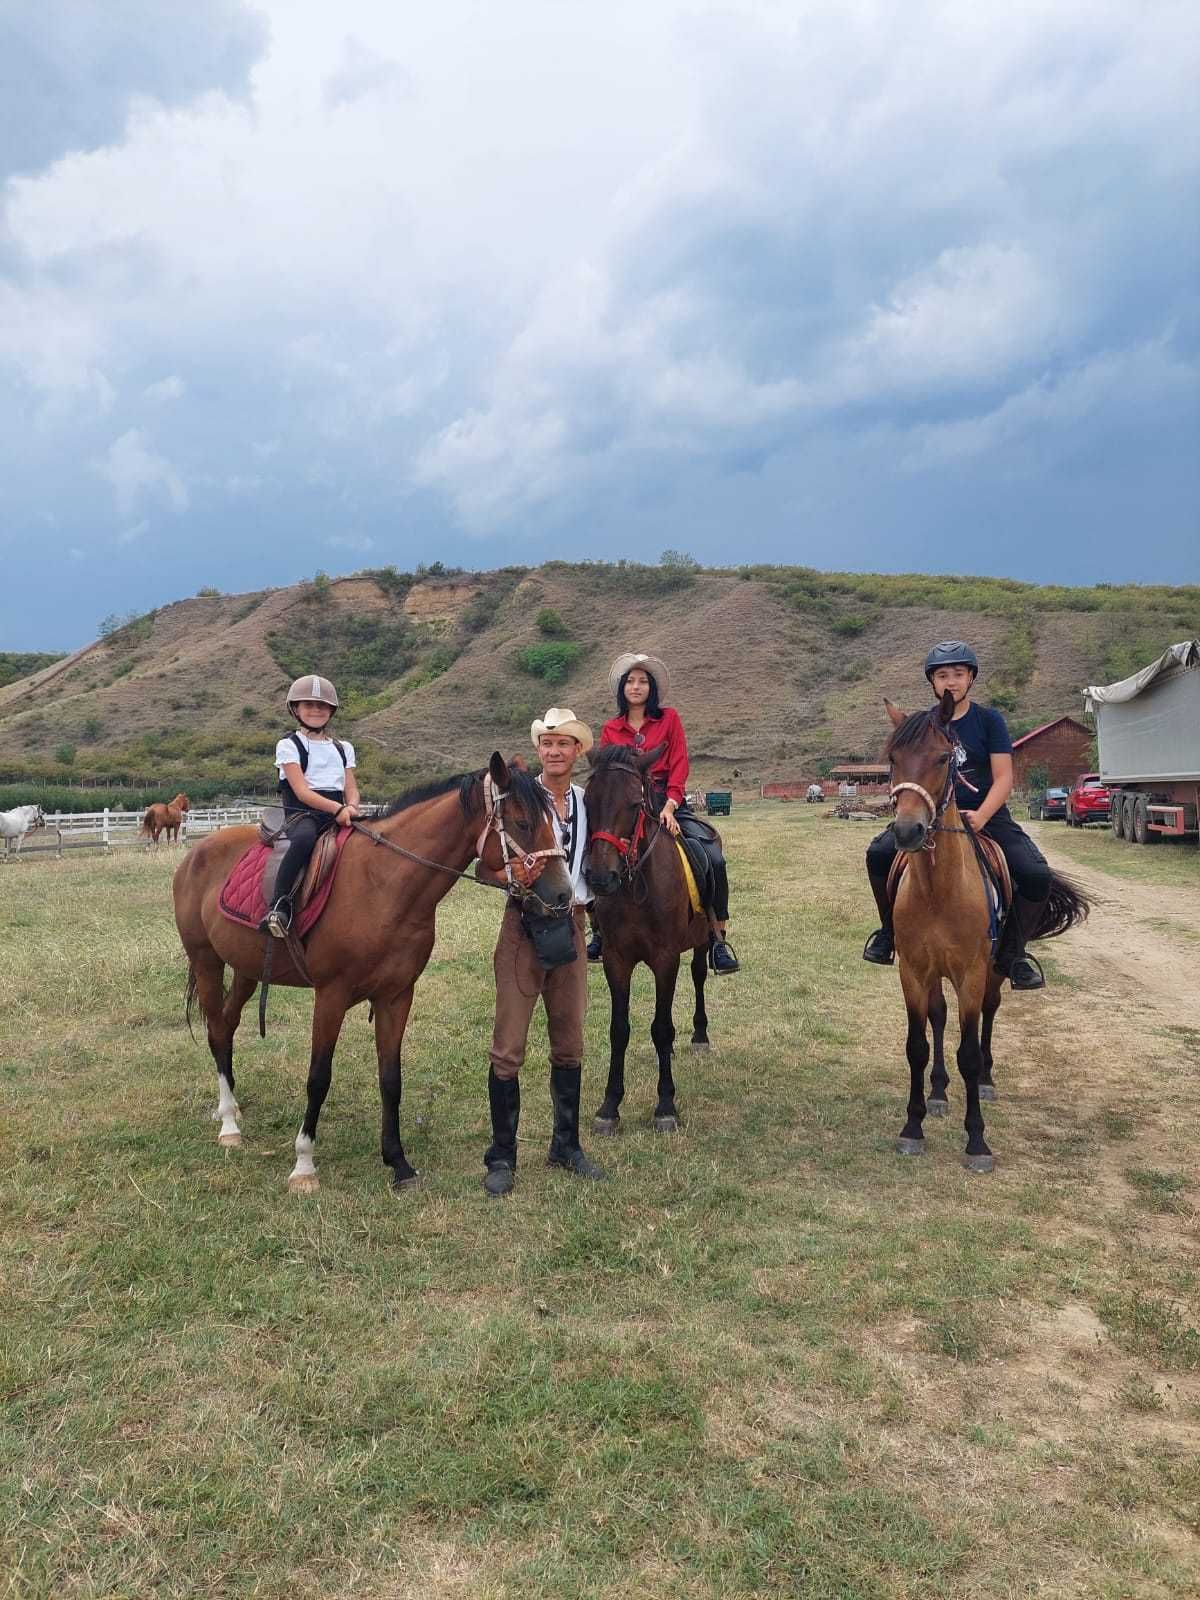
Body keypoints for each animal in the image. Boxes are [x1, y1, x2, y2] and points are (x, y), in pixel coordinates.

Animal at [170, 755, 579, 1196]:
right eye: (522, 822)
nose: (562, 895)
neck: (383, 884)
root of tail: (197, 852)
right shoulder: (330, 996)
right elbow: (319, 1077)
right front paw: (304, 1165)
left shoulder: (396, 996)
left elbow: (391, 1079)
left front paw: (398, 1162)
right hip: (207, 962)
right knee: (215, 1029)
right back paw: (229, 1123)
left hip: (245, 970)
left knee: (226, 1026)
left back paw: (231, 1109)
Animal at [585, 745, 710, 1139]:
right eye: (588, 801)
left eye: (633, 804)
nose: (600, 877)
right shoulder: (616, 960)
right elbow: (619, 1030)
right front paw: (609, 1107)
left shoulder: (666, 959)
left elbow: (662, 1028)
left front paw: (665, 1105)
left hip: (702, 941)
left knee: (699, 976)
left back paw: (700, 1036)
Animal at [883, 694, 1088, 1171]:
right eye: (893, 759)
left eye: (944, 758)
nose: (906, 831)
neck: (938, 890)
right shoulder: (913, 971)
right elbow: (917, 1045)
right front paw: (913, 1126)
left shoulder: (973, 974)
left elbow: (970, 1054)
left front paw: (977, 1140)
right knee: (939, 1017)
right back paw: (939, 1092)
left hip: (994, 971)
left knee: (990, 1015)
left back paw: (987, 1083)